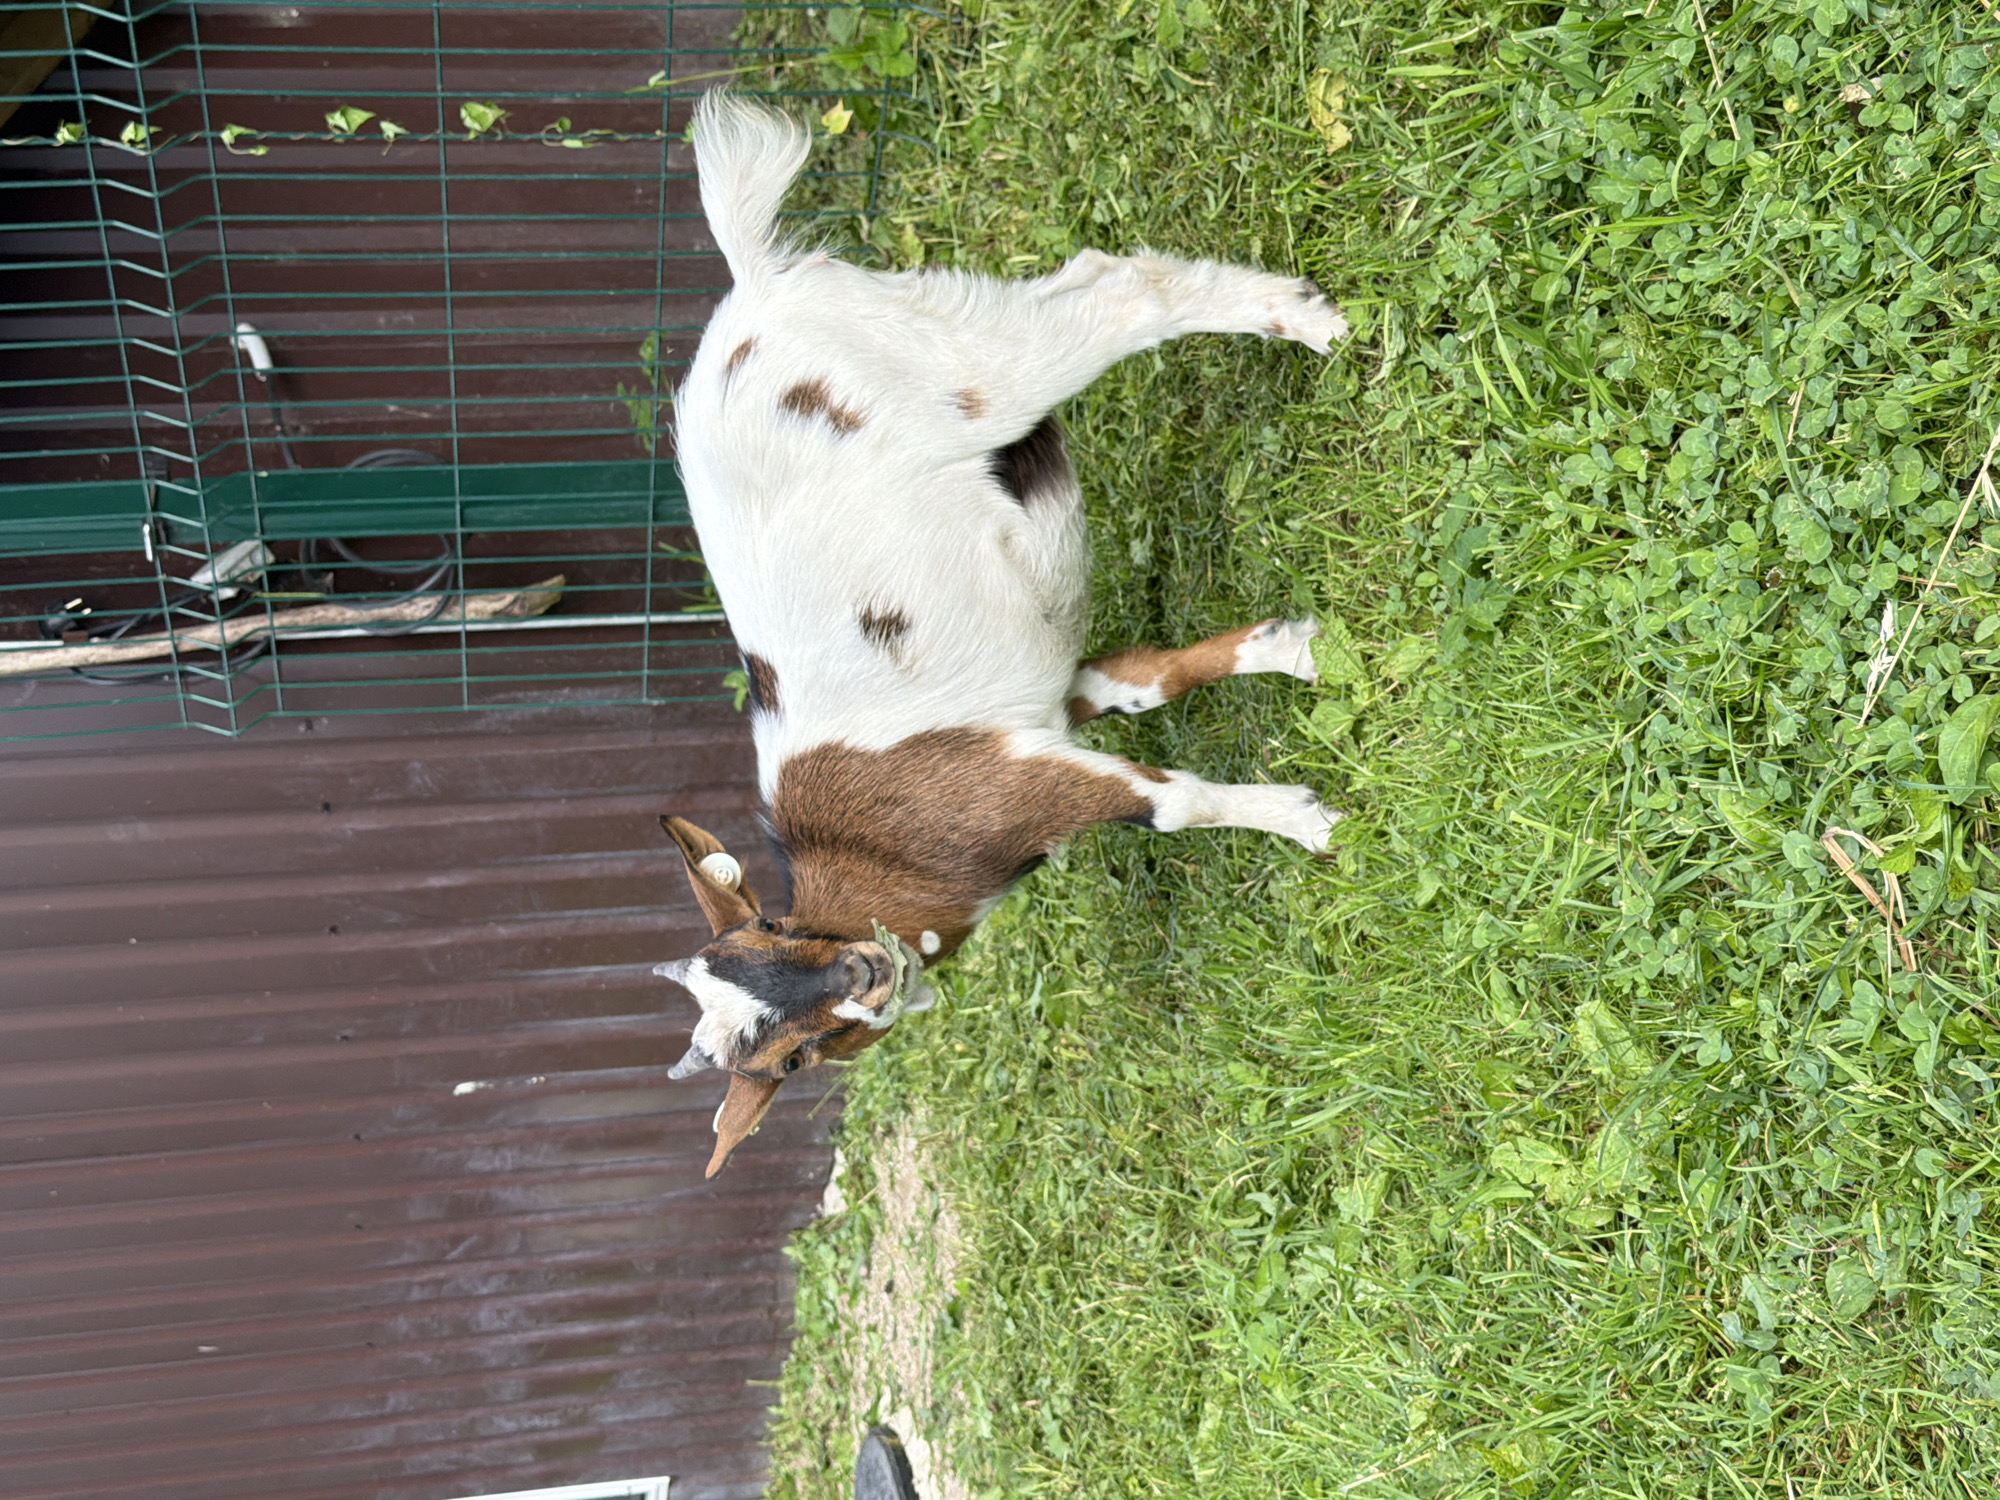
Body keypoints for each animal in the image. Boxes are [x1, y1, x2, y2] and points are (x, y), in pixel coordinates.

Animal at [658, 92, 1347, 1176]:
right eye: (791, 1061)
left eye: (775, 932)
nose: (861, 973)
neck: (888, 872)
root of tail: (754, 288)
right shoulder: (1043, 713)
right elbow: (1146, 681)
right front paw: (1291, 646)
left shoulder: (1020, 785)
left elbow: (1175, 805)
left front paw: (1308, 822)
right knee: (1093, 279)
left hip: (968, 373)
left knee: (1119, 293)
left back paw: (1315, 323)